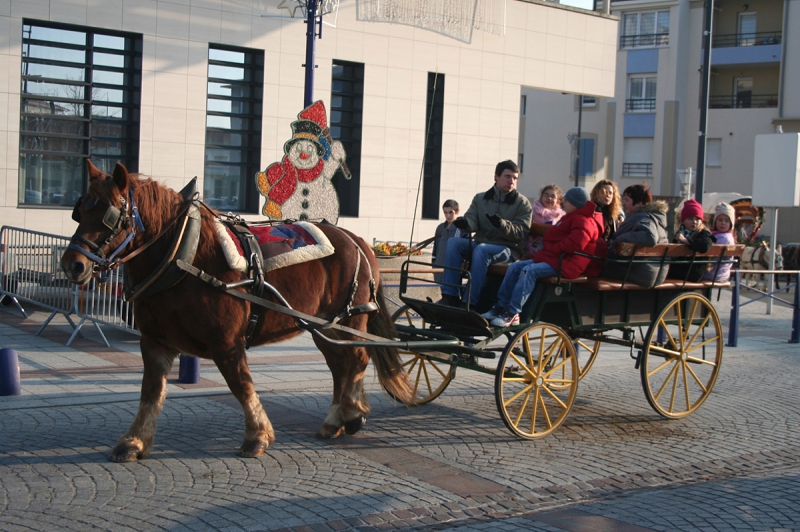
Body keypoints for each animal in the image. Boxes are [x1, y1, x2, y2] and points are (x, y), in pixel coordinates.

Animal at [61, 162, 412, 462]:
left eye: (110, 216)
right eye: (79, 212)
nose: (72, 265)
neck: (183, 254)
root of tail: (355, 239)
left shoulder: (226, 344)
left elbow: (241, 385)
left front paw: (257, 436)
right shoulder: (154, 341)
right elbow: (150, 392)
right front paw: (133, 442)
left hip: (350, 317)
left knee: (356, 360)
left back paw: (351, 412)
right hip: (325, 326)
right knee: (340, 366)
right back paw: (336, 419)